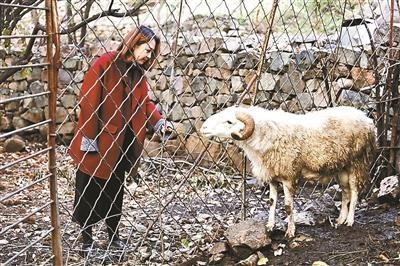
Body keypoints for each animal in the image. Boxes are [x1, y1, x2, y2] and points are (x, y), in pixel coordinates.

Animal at [202, 105, 376, 238]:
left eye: (229, 121)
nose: (204, 127)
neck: (265, 134)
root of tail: (368, 120)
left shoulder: (288, 176)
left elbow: (287, 206)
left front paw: (290, 232)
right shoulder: (272, 177)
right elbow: (271, 202)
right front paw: (270, 226)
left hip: (357, 162)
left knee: (354, 192)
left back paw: (350, 221)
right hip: (342, 167)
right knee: (346, 192)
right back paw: (340, 220)